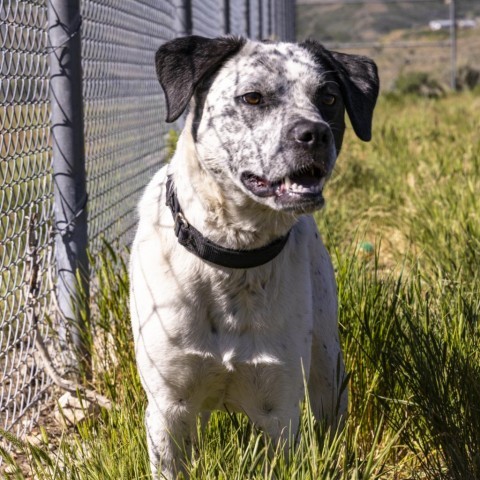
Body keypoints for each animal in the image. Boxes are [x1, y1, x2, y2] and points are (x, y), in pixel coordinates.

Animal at [130, 35, 378, 478]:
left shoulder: (278, 410)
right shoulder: (169, 408)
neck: (233, 256)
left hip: (327, 365)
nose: (314, 134)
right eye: (253, 97)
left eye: (329, 98)